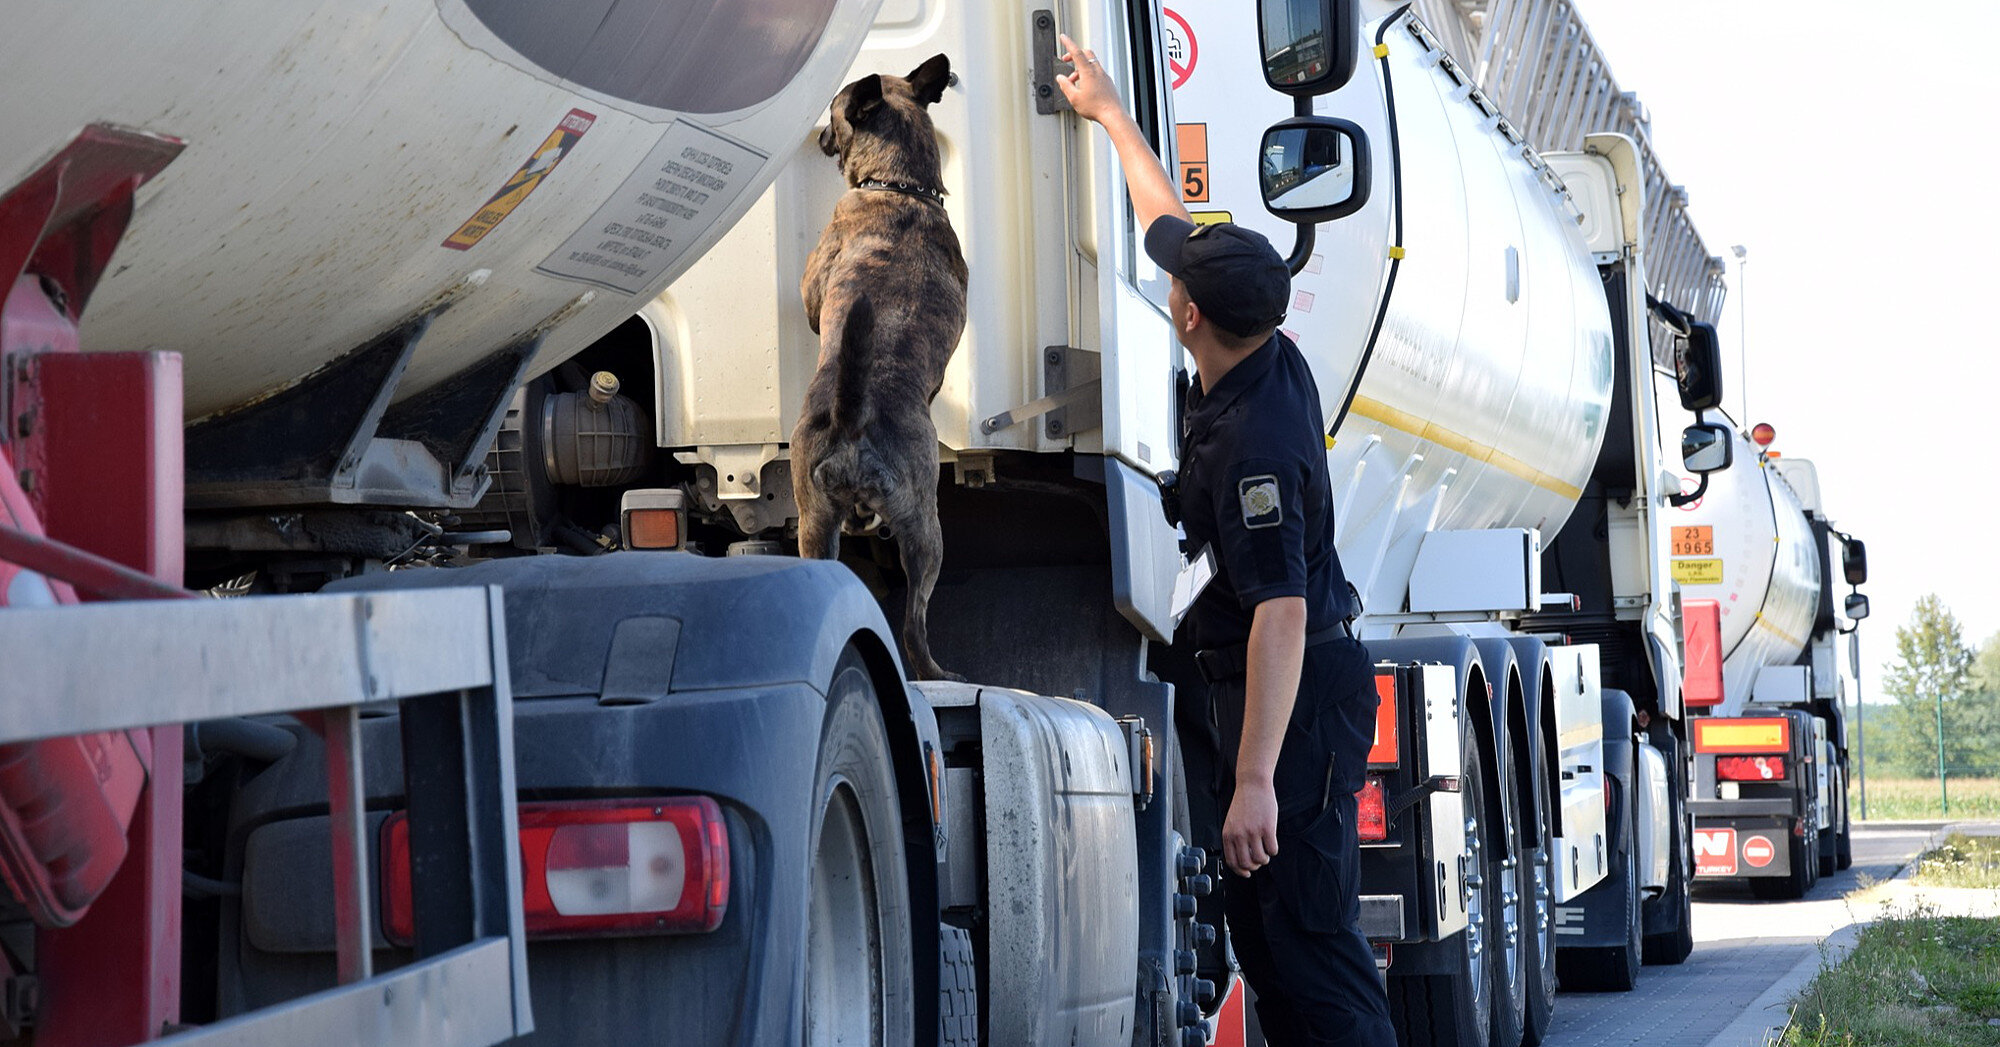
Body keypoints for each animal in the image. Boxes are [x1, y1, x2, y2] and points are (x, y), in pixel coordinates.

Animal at [792, 53, 964, 683]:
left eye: (833, 112)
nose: (818, 135)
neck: (899, 188)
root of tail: (854, 418)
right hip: (916, 533)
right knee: (912, 628)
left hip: (833, 524)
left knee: (908, 629)